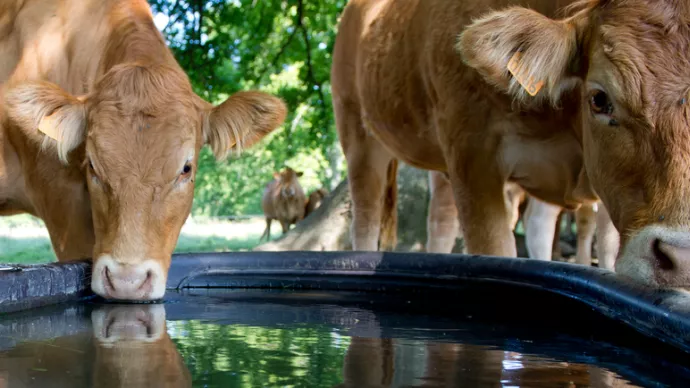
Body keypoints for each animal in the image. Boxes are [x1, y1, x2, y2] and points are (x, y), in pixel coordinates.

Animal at [334, 0, 688, 288]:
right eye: (600, 99)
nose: (682, 259)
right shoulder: (473, 156)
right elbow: (496, 251)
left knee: (443, 221)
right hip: (358, 134)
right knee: (365, 220)